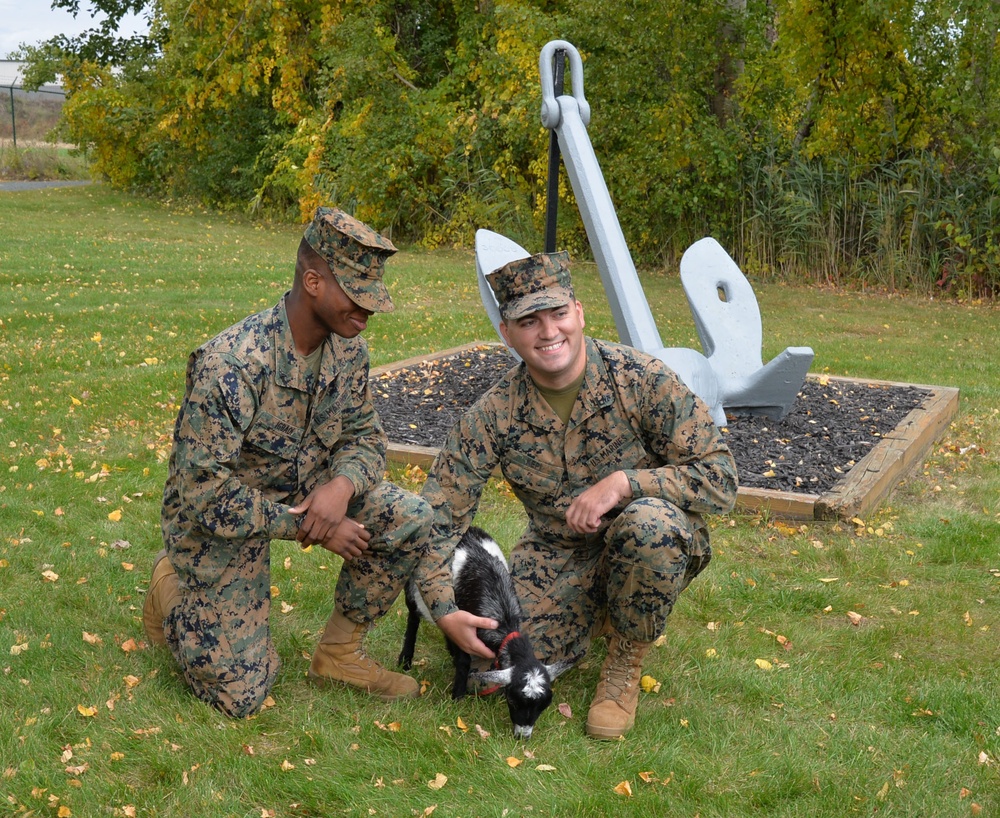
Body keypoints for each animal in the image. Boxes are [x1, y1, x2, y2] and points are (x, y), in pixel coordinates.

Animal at [394, 524, 576, 736]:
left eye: (544, 706)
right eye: (513, 701)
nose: (523, 737)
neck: (501, 611)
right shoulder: (462, 627)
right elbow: (464, 660)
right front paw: (457, 697)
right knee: (413, 617)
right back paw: (405, 660)